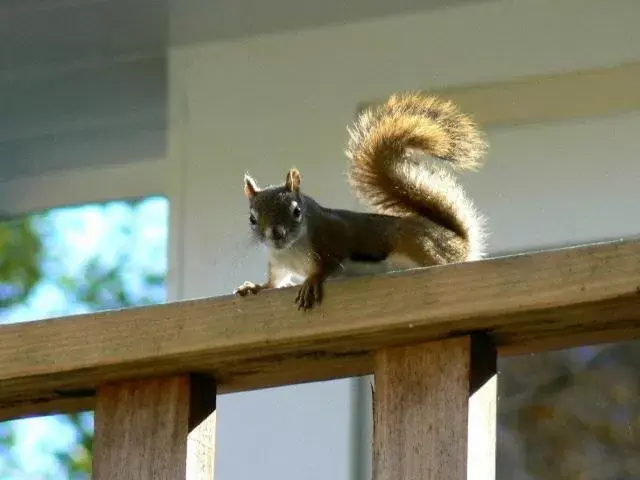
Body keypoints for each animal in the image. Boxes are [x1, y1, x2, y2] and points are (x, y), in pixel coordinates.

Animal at [235, 91, 490, 312]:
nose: (276, 234)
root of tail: (459, 242)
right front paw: (255, 287)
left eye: (296, 211)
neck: (291, 249)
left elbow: (329, 264)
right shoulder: (278, 263)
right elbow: (275, 281)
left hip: (419, 246)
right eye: (252, 219)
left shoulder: (332, 237)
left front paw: (312, 280)